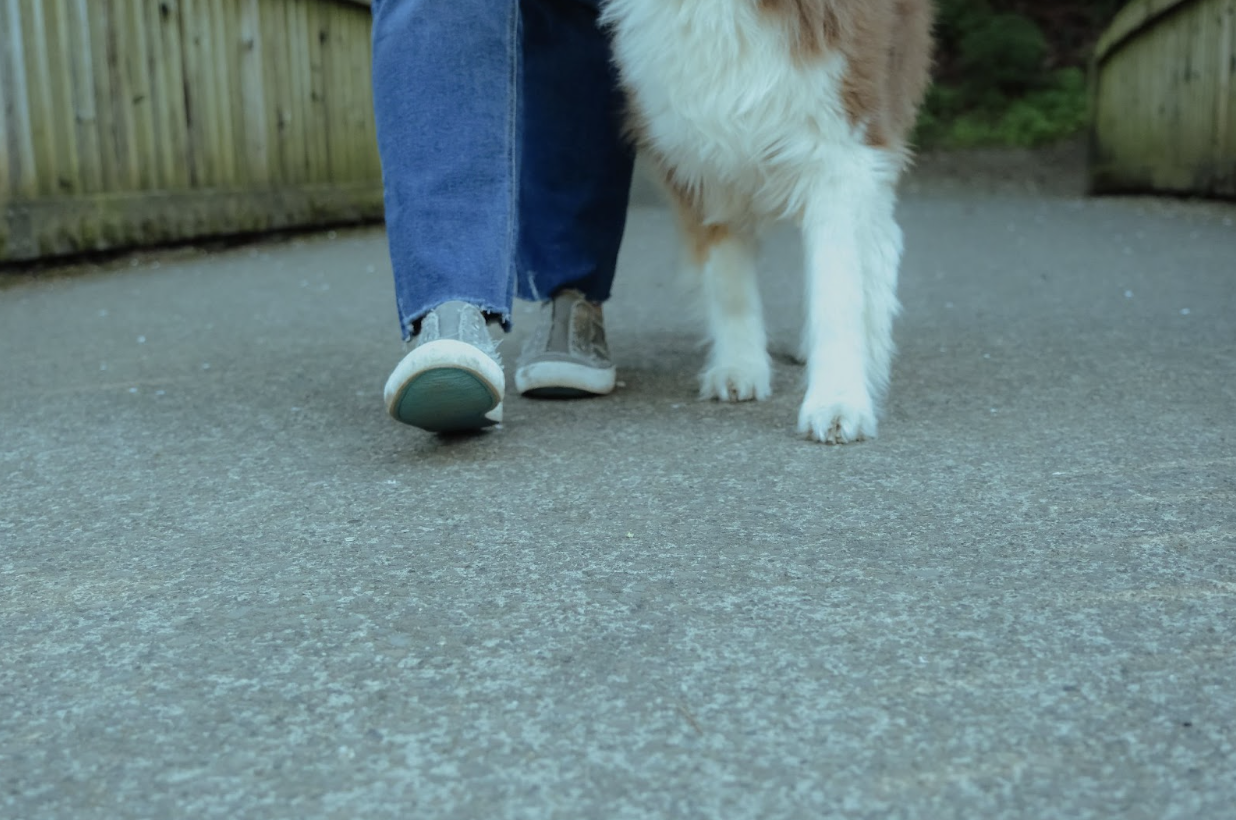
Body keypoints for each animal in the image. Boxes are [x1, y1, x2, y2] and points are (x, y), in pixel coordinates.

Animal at [600, 0, 934, 442]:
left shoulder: (840, 142)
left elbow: (837, 288)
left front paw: (838, 401)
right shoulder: (701, 151)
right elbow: (728, 280)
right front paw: (739, 366)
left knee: (881, 237)